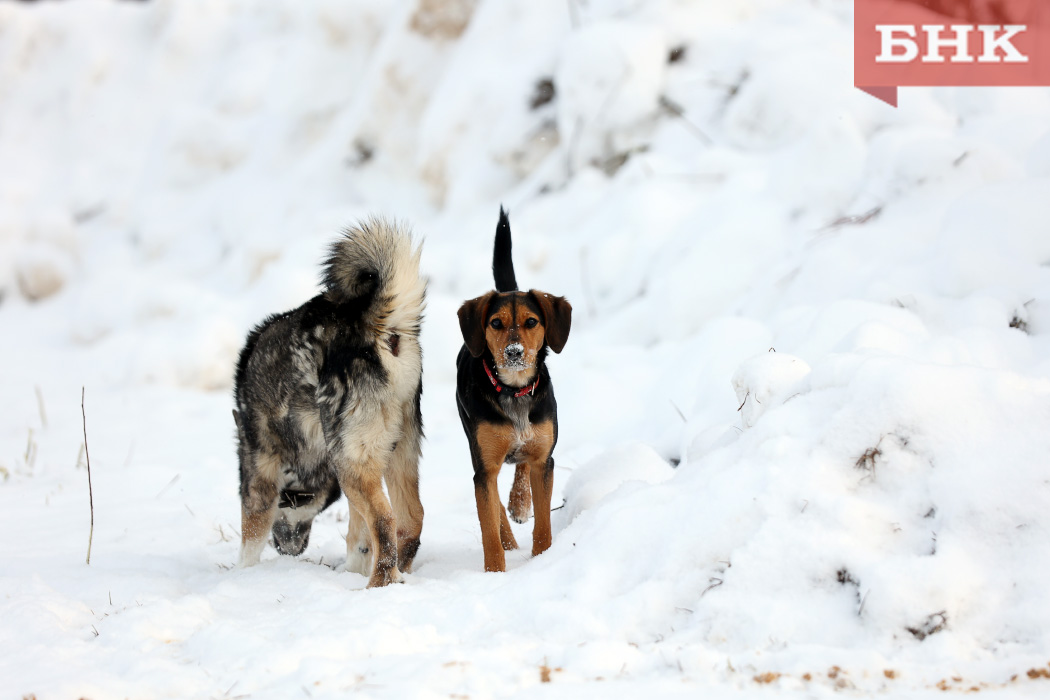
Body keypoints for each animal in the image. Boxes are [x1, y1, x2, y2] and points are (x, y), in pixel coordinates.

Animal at [232, 217, 424, 587]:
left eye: (290, 504)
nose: (289, 551)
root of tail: (377, 328)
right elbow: (358, 535)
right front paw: (352, 567)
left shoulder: (258, 462)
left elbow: (251, 536)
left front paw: (242, 575)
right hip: (396, 452)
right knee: (410, 519)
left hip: (353, 464)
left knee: (385, 521)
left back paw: (378, 584)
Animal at [457, 210, 575, 570]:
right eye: (495, 323)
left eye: (531, 322)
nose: (513, 352)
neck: (514, 391)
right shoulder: (484, 467)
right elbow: (488, 527)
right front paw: (495, 570)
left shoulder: (544, 461)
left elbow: (544, 520)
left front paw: (543, 556)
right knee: (494, 501)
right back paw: (509, 539)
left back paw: (519, 501)